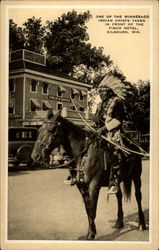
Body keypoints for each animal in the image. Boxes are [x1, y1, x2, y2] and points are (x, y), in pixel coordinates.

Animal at [30, 109, 145, 240]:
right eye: (39, 130)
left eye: (51, 130)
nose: (35, 156)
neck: (84, 153)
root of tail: (135, 145)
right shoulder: (82, 187)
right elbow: (88, 210)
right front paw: (91, 231)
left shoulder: (94, 186)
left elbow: (93, 210)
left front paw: (91, 234)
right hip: (116, 180)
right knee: (119, 196)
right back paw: (119, 222)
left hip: (137, 176)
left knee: (138, 196)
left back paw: (142, 224)